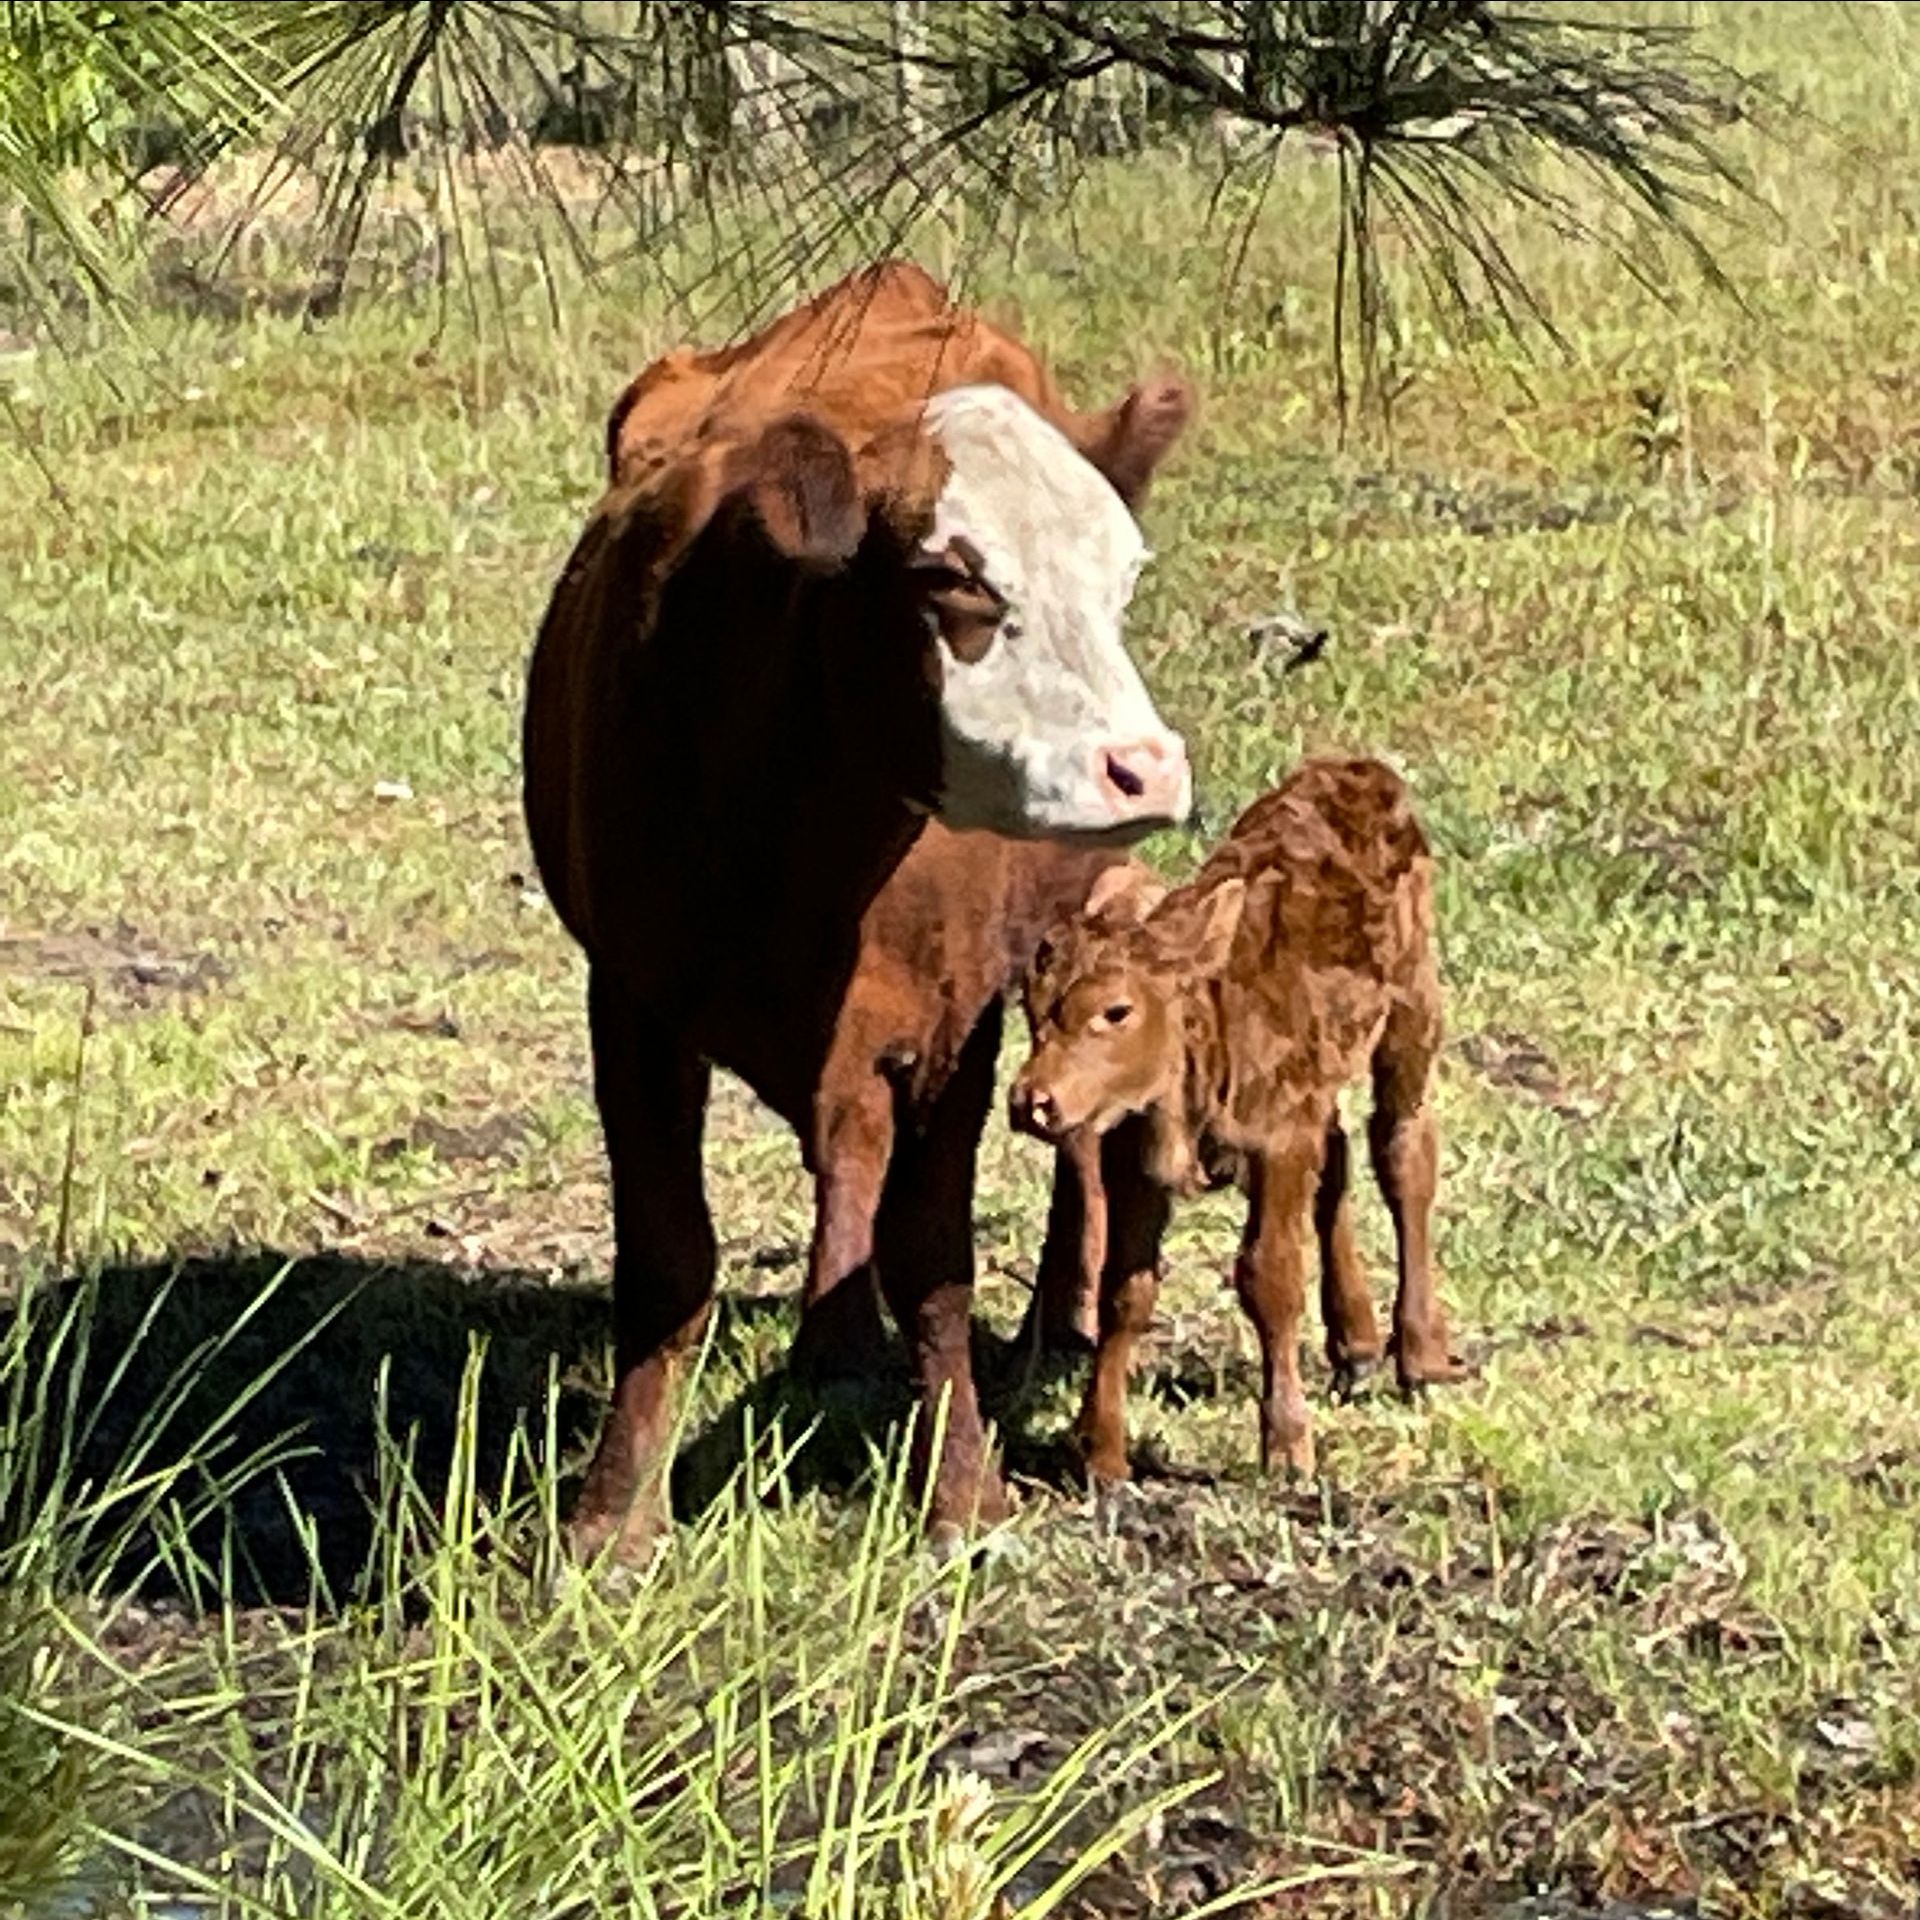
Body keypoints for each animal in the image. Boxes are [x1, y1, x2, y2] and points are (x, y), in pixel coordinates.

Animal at [523, 261, 1194, 1561]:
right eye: (951, 576)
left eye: (1127, 579)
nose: (1144, 768)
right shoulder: (630, 998)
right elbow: (669, 1260)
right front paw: (612, 1521)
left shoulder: (955, 1021)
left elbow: (932, 1253)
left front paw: (964, 1495)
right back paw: (833, 1346)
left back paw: (1056, 1323)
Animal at [1008, 758, 1466, 1488]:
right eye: (1032, 1005)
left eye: (1116, 1010)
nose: (1033, 1101)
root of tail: (1359, 769)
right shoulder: (1134, 1159)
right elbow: (1126, 1291)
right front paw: (1101, 1452)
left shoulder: (1277, 1144)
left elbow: (1269, 1277)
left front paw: (1287, 1446)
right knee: (1338, 1156)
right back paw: (1357, 1343)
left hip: (1413, 1007)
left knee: (1404, 1150)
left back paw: (1419, 1353)